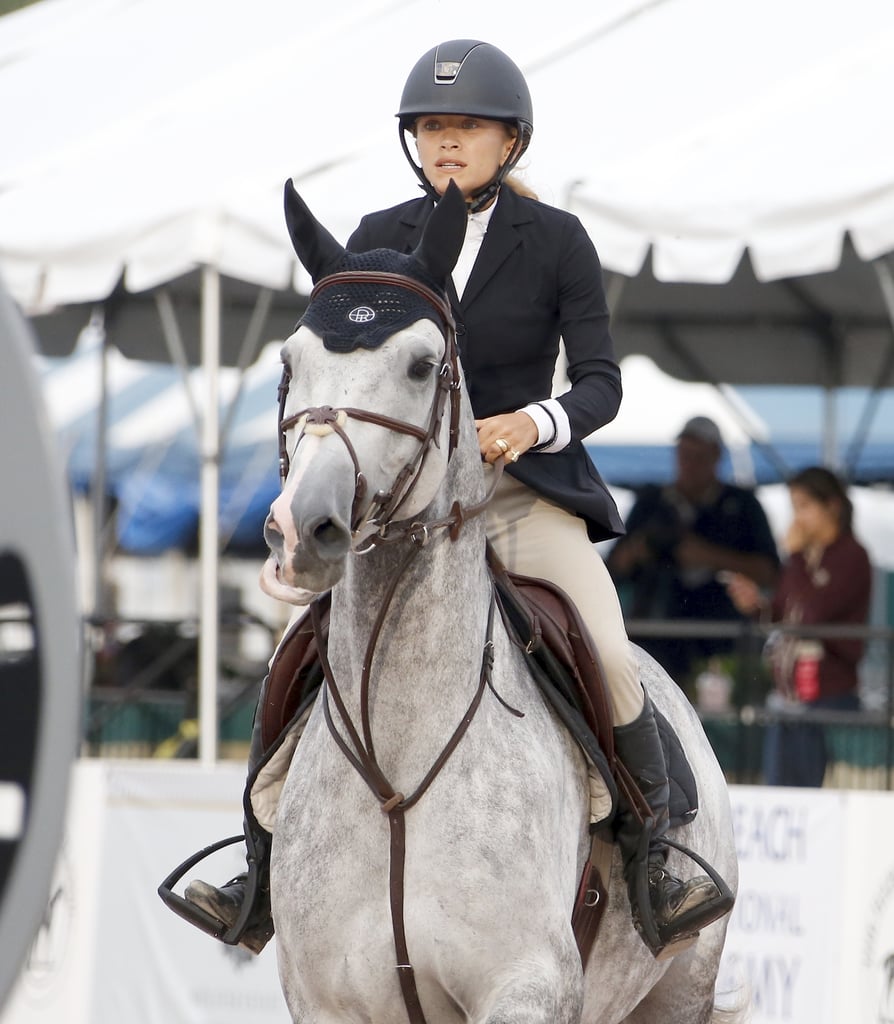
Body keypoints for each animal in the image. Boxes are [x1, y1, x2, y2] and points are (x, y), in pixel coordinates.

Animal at [256, 178, 740, 1024]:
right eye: (290, 361)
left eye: (423, 365)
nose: (303, 529)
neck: (396, 764)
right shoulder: (326, 1000)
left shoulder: (526, 986)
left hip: (679, 987)